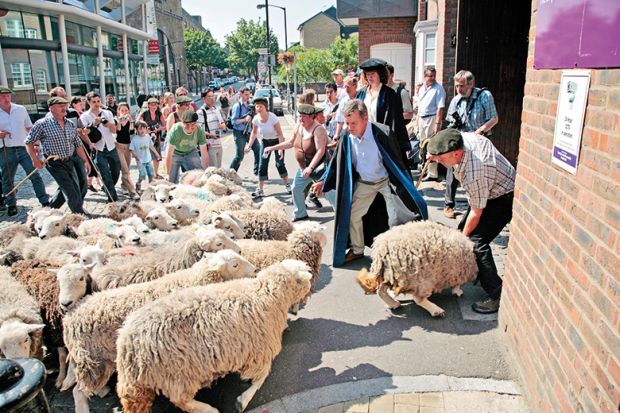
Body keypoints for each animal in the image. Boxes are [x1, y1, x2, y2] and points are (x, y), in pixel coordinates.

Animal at [63, 248, 256, 412]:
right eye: (235, 264)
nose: (255, 271)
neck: (194, 278)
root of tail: (70, 317)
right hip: (94, 361)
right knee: (78, 392)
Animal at [114, 260, 312, 412]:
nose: (311, 284)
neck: (267, 293)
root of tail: (126, 345)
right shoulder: (259, 352)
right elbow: (261, 378)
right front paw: (243, 400)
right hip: (178, 375)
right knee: (182, 401)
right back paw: (209, 409)